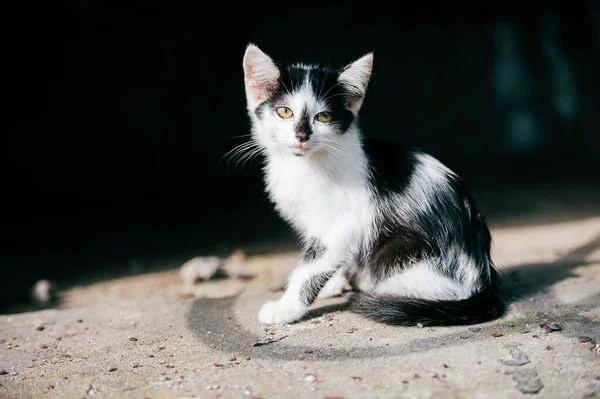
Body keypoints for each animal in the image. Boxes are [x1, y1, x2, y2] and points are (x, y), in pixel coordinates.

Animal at [241, 44, 504, 324]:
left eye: (323, 117)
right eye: (284, 111)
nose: (301, 135)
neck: (305, 165)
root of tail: (485, 278)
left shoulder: (340, 226)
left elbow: (311, 268)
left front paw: (285, 309)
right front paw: (333, 284)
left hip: (402, 253)